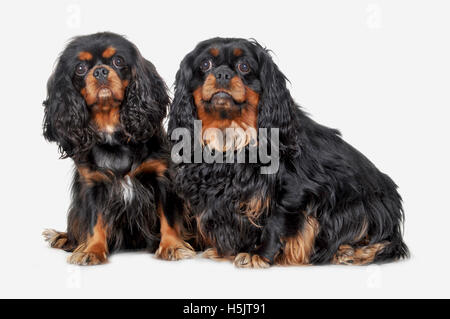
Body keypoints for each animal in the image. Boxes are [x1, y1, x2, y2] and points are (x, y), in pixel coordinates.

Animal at [42, 32, 195, 266]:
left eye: (118, 61)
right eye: (80, 68)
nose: (100, 71)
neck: (113, 133)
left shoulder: (162, 177)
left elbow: (168, 217)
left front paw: (172, 246)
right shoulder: (93, 184)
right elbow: (94, 222)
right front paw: (92, 250)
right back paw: (66, 239)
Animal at [168, 37, 408, 268]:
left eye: (244, 66)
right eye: (205, 64)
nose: (223, 74)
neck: (230, 136)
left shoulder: (292, 190)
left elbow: (275, 223)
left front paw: (259, 255)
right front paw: (225, 252)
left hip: (360, 205)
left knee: (389, 244)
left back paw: (353, 252)